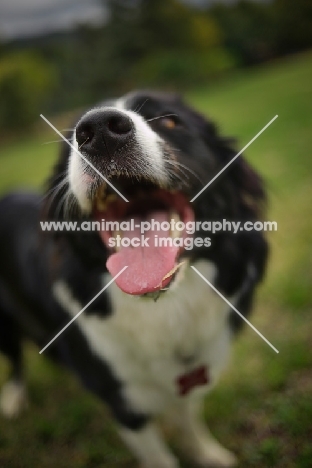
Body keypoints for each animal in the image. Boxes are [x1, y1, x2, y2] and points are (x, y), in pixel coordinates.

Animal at [0, 92, 268, 468]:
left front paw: (207, 454)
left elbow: (188, 419)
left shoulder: (185, 380)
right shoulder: (126, 406)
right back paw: (12, 398)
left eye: (170, 120)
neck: (164, 310)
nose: (98, 130)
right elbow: (158, 456)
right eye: (70, 140)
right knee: (13, 358)